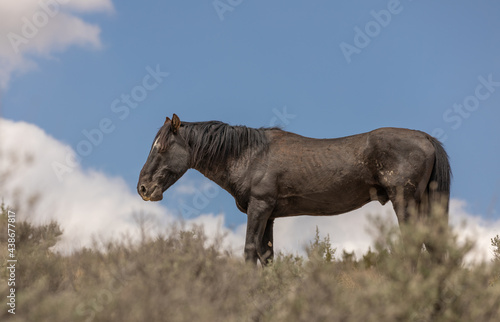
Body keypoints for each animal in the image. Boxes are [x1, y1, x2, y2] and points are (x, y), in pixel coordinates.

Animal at [139, 114, 452, 266]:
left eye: (162, 147)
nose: (144, 187)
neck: (250, 154)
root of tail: (426, 138)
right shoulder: (270, 215)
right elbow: (267, 256)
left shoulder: (259, 207)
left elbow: (249, 251)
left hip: (405, 202)